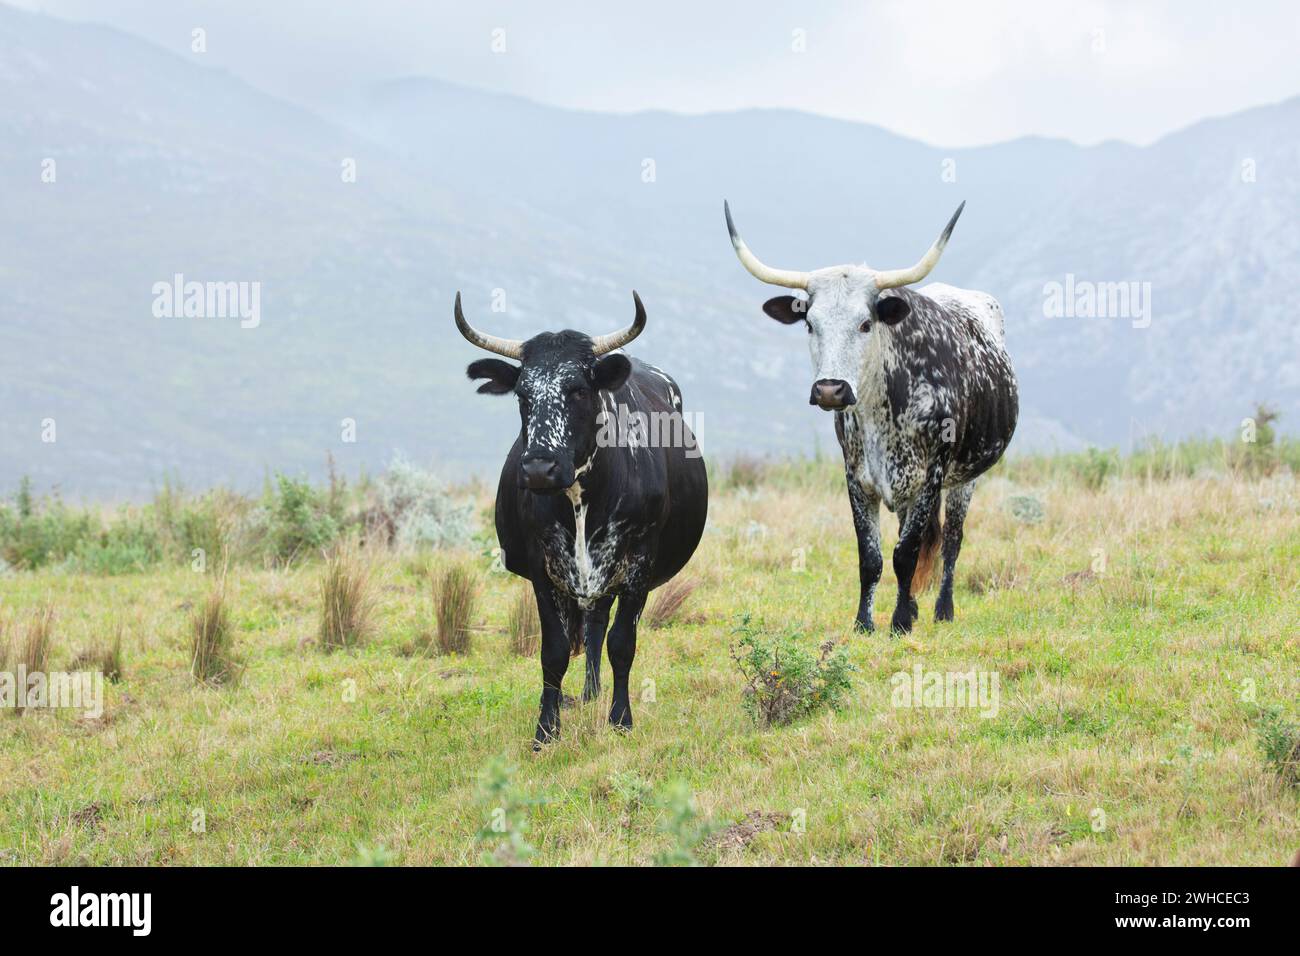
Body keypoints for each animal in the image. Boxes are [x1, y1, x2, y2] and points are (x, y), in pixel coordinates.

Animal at [454, 291, 708, 745]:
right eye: (522, 394)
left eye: (576, 390)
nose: (539, 468)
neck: (579, 499)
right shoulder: (542, 568)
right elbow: (553, 652)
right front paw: (546, 729)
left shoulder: (639, 561)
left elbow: (622, 643)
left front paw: (621, 719)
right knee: (591, 626)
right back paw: (588, 693)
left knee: (599, 626)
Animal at [724, 201, 1018, 634]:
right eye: (809, 323)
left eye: (865, 323)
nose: (830, 390)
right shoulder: (857, 476)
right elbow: (872, 556)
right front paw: (865, 622)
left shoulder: (930, 476)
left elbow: (907, 554)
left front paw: (900, 623)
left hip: (966, 477)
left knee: (951, 541)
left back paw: (942, 609)